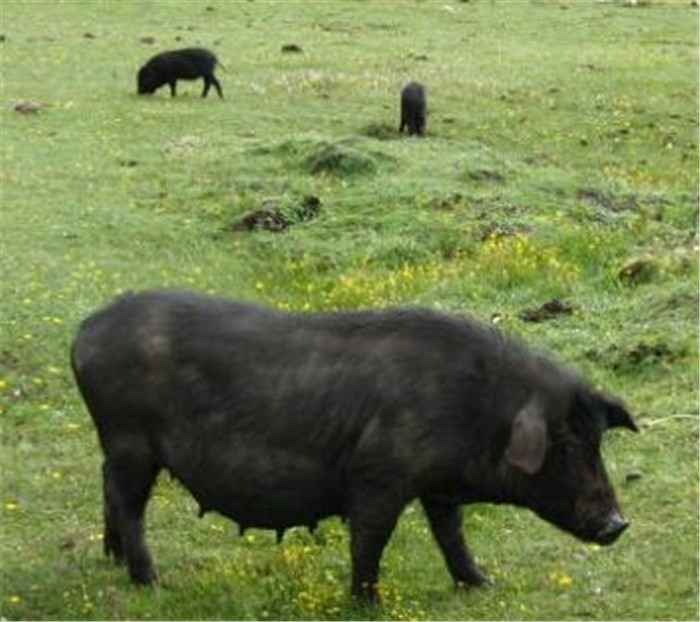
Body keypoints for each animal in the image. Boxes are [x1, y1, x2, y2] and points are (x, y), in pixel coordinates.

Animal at [72, 290, 640, 604]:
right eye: (565, 444)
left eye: (597, 440)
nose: (618, 523)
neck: (477, 410)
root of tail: (86, 330)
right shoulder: (378, 476)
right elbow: (371, 541)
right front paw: (369, 602)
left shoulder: (437, 488)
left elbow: (451, 535)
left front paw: (483, 585)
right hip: (130, 438)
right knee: (128, 503)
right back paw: (151, 582)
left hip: (119, 446)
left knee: (107, 488)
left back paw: (113, 561)